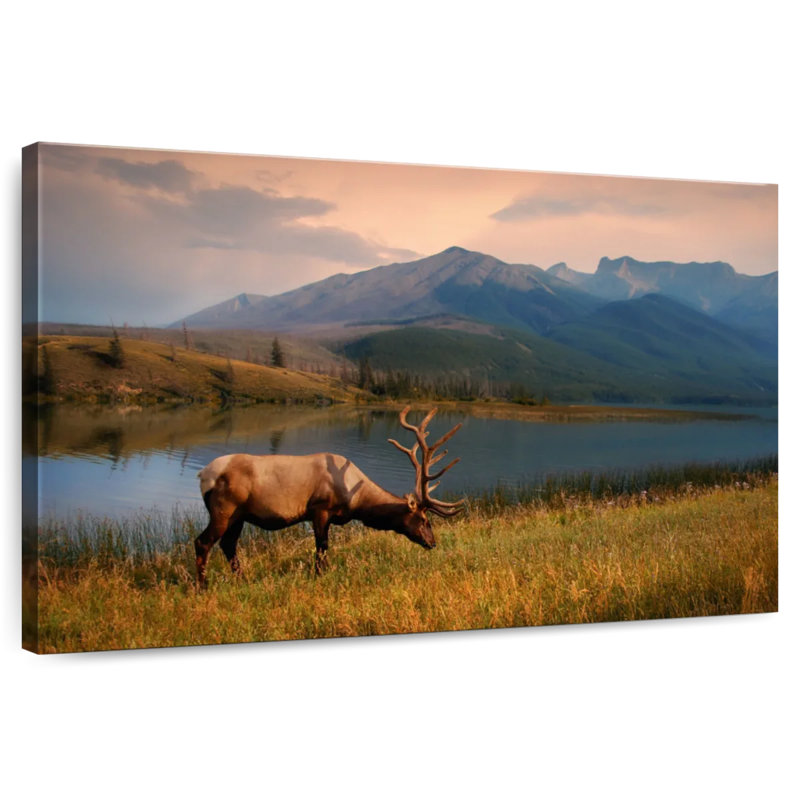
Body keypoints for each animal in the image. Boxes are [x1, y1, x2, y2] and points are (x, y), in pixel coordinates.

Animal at [193, 406, 465, 587]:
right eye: (424, 520)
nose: (432, 543)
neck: (356, 500)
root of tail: (203, 475)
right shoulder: (320, 508)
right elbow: (322, 548)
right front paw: (320, 576)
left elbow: (322, 548)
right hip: (224, 509)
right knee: (203, 542)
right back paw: (203, 587)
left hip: (238, 516)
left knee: (228, 545)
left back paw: (242, 580)